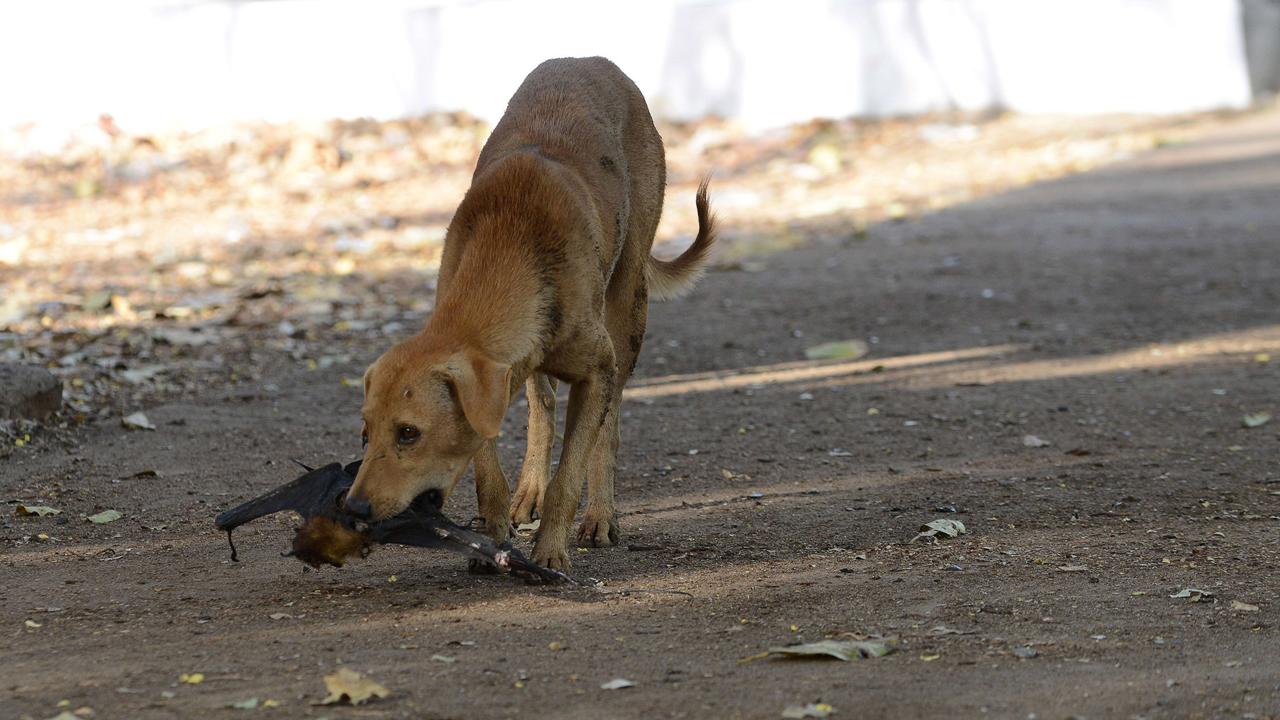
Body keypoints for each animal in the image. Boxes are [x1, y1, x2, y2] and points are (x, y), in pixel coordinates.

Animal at [345, 57, 716, 566]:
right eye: (365, 433)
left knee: (610, 424)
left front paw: (551, 553)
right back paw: (529, 492)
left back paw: (600, 515)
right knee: (542, 408)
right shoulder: (492, 382)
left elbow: (571, 473)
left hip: (629, 308)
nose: (353, 509)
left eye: (408, 433)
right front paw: (495, 536)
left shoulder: (597, 371)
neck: (509, 244)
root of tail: (591, 60)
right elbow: (488, 471)